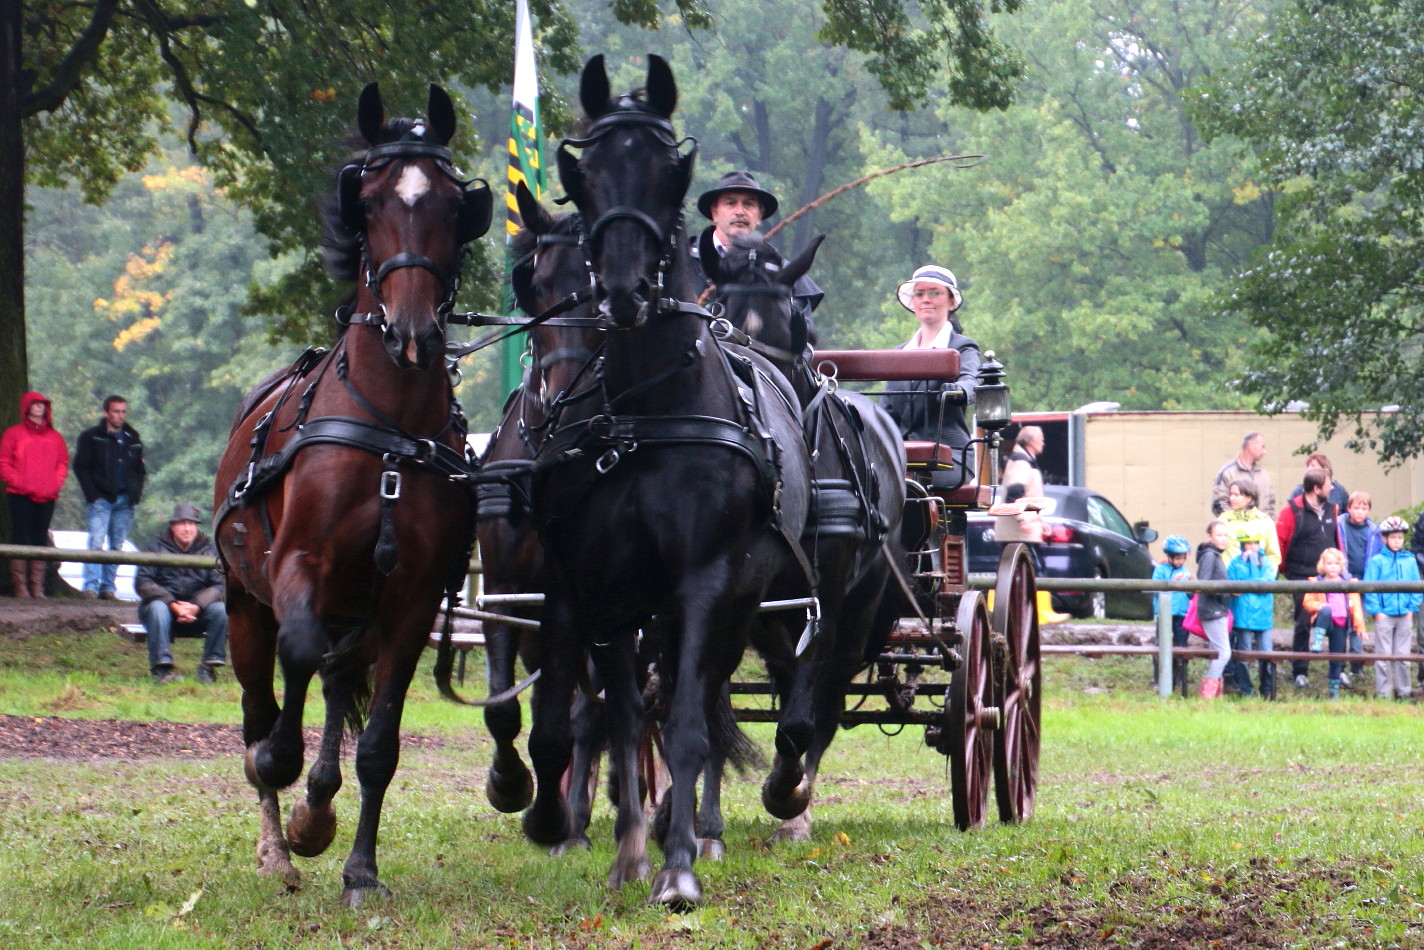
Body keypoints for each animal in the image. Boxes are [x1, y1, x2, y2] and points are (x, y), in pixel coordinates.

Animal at [210, 83, 489, 905]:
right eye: (365, 201)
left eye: (454, 206)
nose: (413, 331)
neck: (389, 425)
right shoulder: (299, 566)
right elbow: (293, 672)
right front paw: (287, 787)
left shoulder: (412, 599)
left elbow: (380, 744)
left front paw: (359, 867)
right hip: (247, 604)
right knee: (264, 699)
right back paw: (277, 840)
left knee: (336, 683)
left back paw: (319, 804)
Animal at [524, 57, 814, 905]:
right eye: (584, 175)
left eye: (666, 173)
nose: (623, 289)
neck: (645, 411)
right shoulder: (592, 585)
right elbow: (593, 722)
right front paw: (611, 845)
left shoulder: (705, 578)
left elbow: (685, 722)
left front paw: (678, 866)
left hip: (745, 599)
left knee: (712, 699)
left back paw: (724, 822)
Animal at [703, 233, 911, 843]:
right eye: (715, 304)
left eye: (790, 316)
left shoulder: (829, 601)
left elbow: (802, 718)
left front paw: (784, 794)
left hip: (861, 615)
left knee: (828, 697)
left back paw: (797, 803)